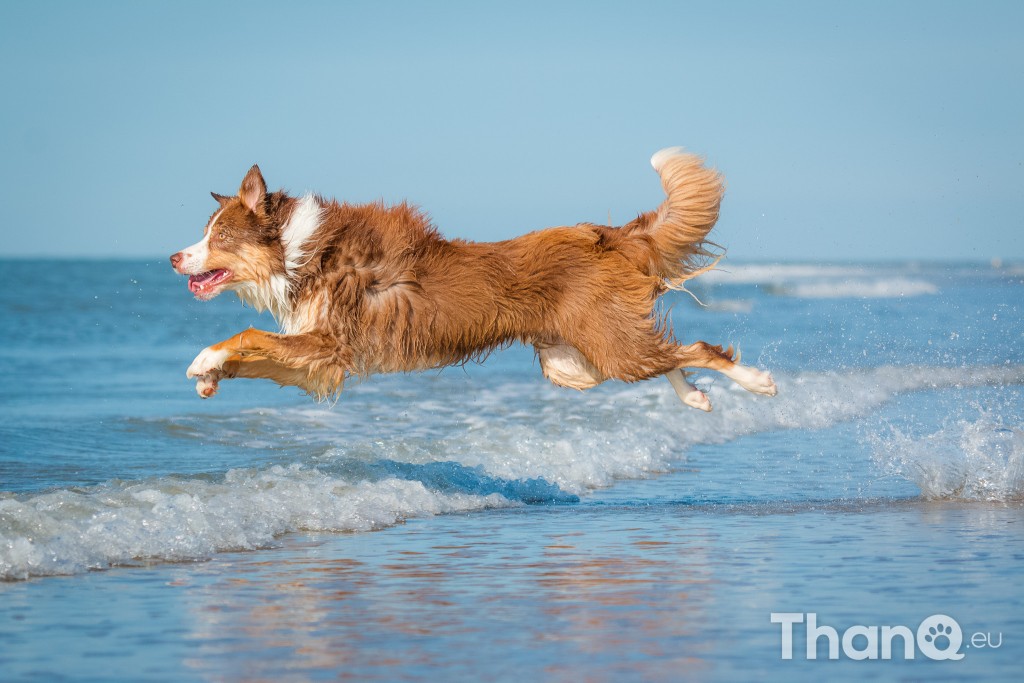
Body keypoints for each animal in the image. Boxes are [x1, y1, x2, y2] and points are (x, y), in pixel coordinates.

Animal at [169, 148, 774, 411]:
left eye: (219, 236)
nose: (174, 258)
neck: (299, 251)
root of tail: (606, 234)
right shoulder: (319, 363)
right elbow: (253, 353)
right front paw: (211, 377)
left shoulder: (329, 342)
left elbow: (246, 336)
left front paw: (202, 362)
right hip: (575, 364)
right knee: (668, 354)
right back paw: (695, 397)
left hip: (602, 349)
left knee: (695, 347)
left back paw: (758, 382)